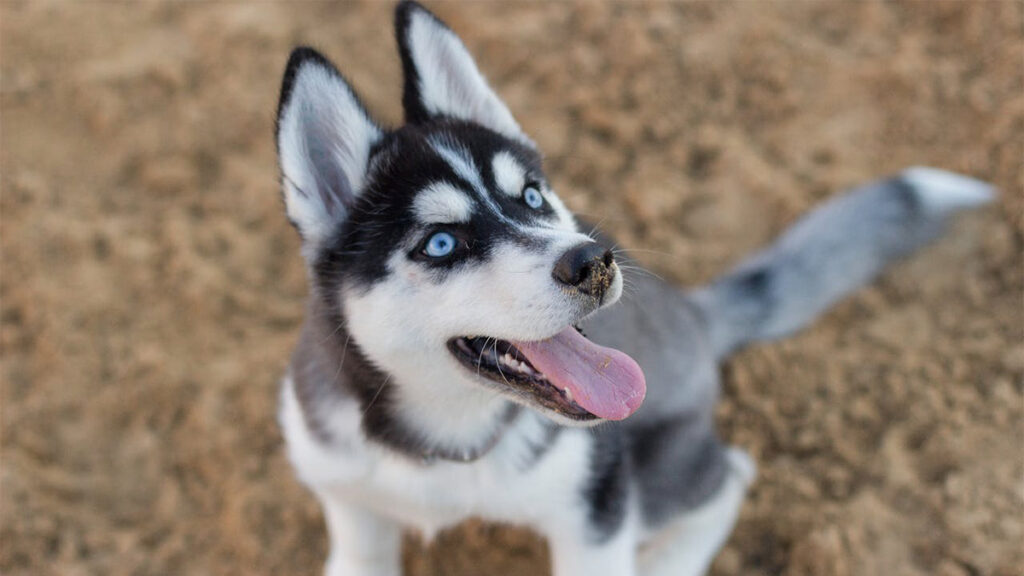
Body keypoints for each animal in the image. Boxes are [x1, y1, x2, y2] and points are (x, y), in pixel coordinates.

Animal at [272, 2, 991, 569]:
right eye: (441, 243)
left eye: (531, 196)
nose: (594, 260)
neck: (444, 443)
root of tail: (694, 313)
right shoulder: (345, 495)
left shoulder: (595, 512)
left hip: (653, 479)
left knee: (731, 474)